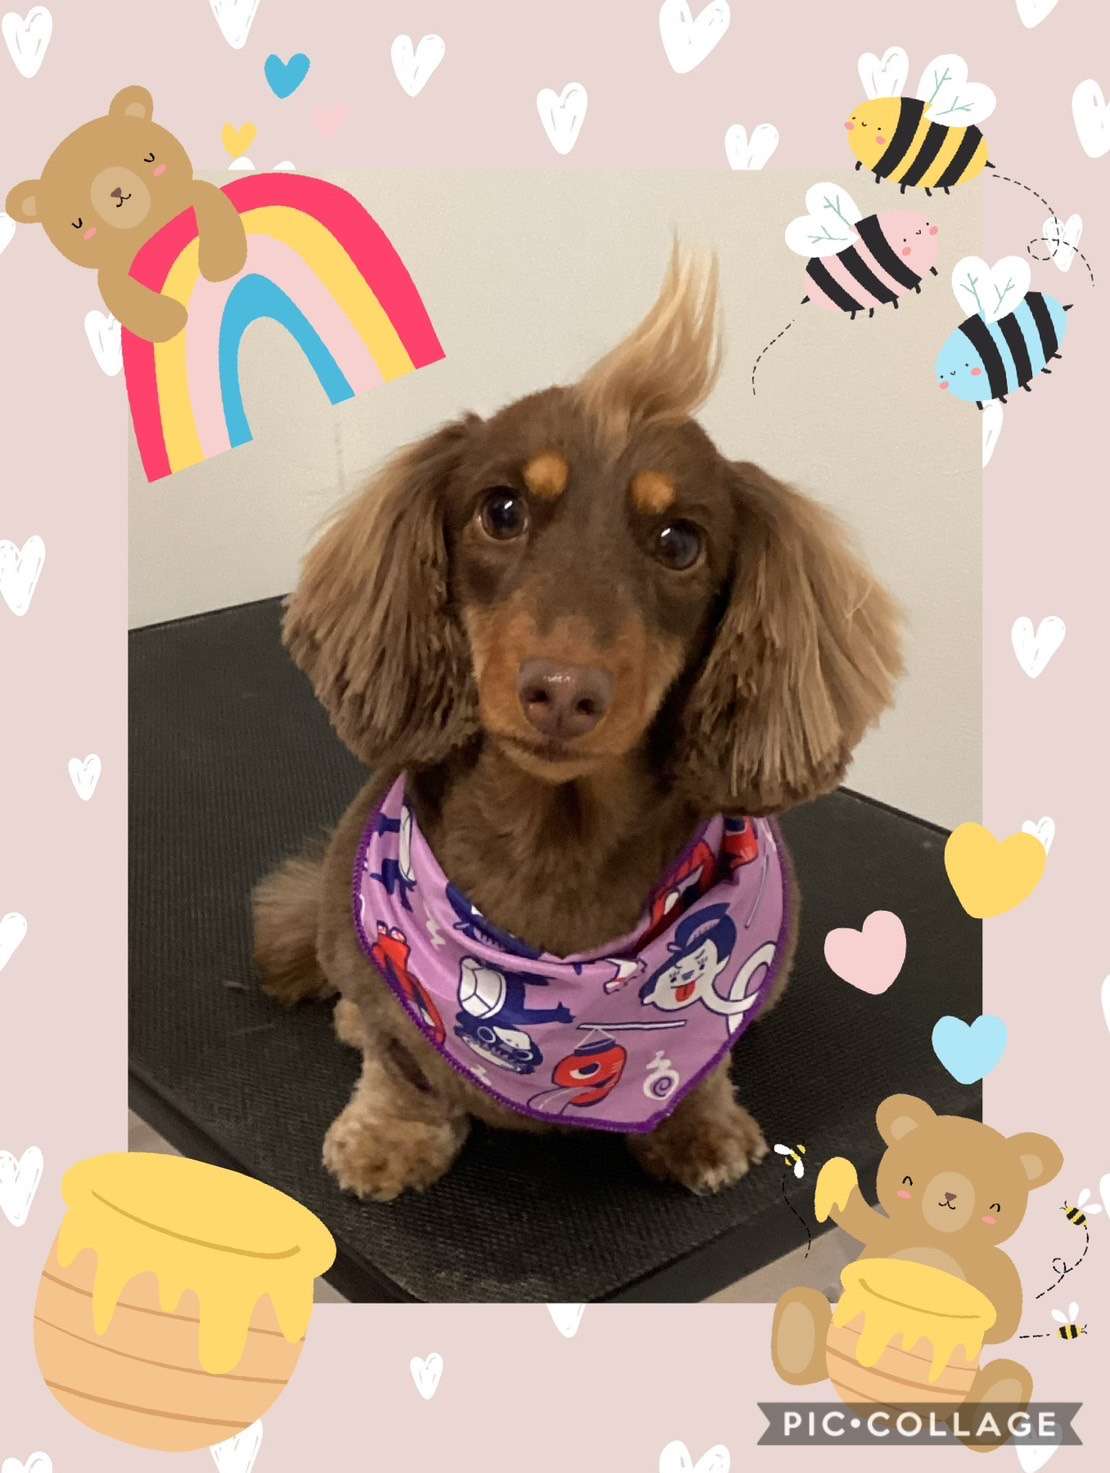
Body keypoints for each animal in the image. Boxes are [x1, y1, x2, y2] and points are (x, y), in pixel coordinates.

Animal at [253, 247, 903, 1200]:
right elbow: (401, 1065)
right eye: (502, 510)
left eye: (679, 542)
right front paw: (389, 1135)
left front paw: (700, 1128)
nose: (562, 692)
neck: (554, 841)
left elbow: (709, 1065)